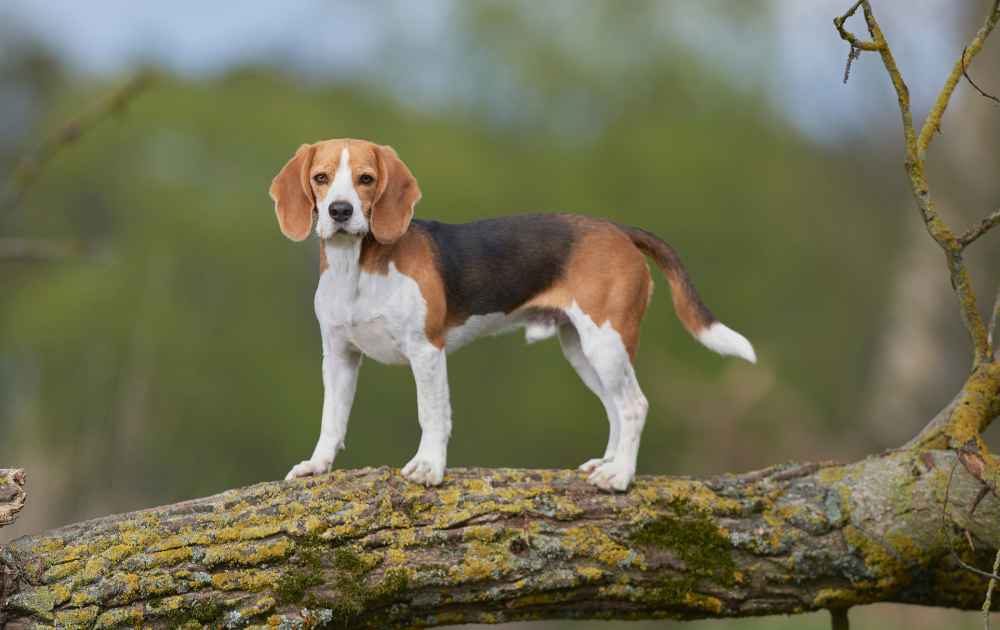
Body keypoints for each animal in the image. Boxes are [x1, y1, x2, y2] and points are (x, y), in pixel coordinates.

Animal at [270, 138, 752, 494]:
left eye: (366, 180)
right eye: (321, 178)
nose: (340, 211)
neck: (357, 268)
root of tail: (618, 229)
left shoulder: (426, 351)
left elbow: (433, 414)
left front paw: (429, 467)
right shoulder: (338, 356)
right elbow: (331, 418)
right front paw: (317, 465)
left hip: (607, 341)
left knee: (634, 405)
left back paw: (619, 476)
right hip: (582, 348)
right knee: (615, 407)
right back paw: (609, 462)